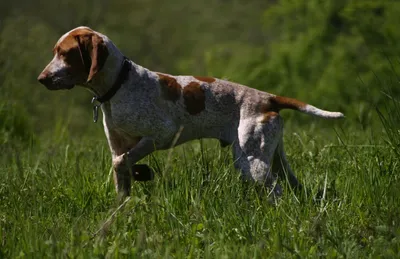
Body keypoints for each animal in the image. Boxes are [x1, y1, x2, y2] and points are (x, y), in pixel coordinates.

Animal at [38, 26, 344, 198]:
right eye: (56, 51)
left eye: (65, 53)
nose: (41, 79)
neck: (119, 84)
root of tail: (268, 98)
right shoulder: (118, 145)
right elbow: (121, 172)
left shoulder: (160, 135)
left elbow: (122, 162)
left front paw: (140, 172)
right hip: (274, 158)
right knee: (293, 186)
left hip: (251, 161)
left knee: (276, 191)